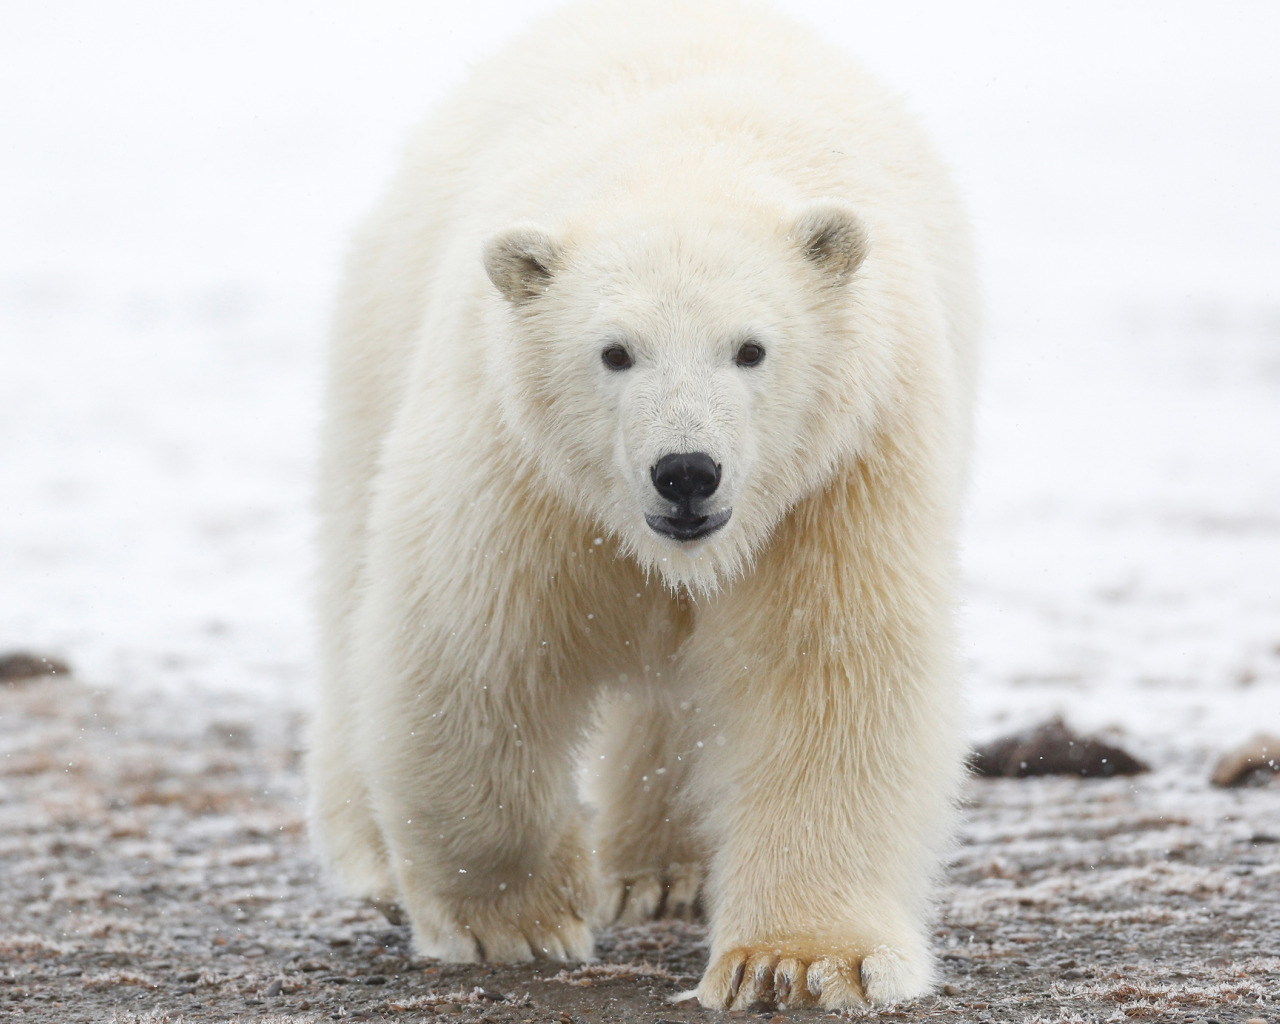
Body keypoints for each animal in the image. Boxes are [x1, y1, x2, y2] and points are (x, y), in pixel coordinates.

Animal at [309, 0, 977, 1008]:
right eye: (615, 351)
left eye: (752, 348)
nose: (686, 472)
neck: (685, 159)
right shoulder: (524, 467)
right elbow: (475, 647)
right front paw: (515, 923)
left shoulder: (842, 472)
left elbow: (830, 673)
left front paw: (798, 960)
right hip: (375, 345)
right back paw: (381, 859)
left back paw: (664, 870)